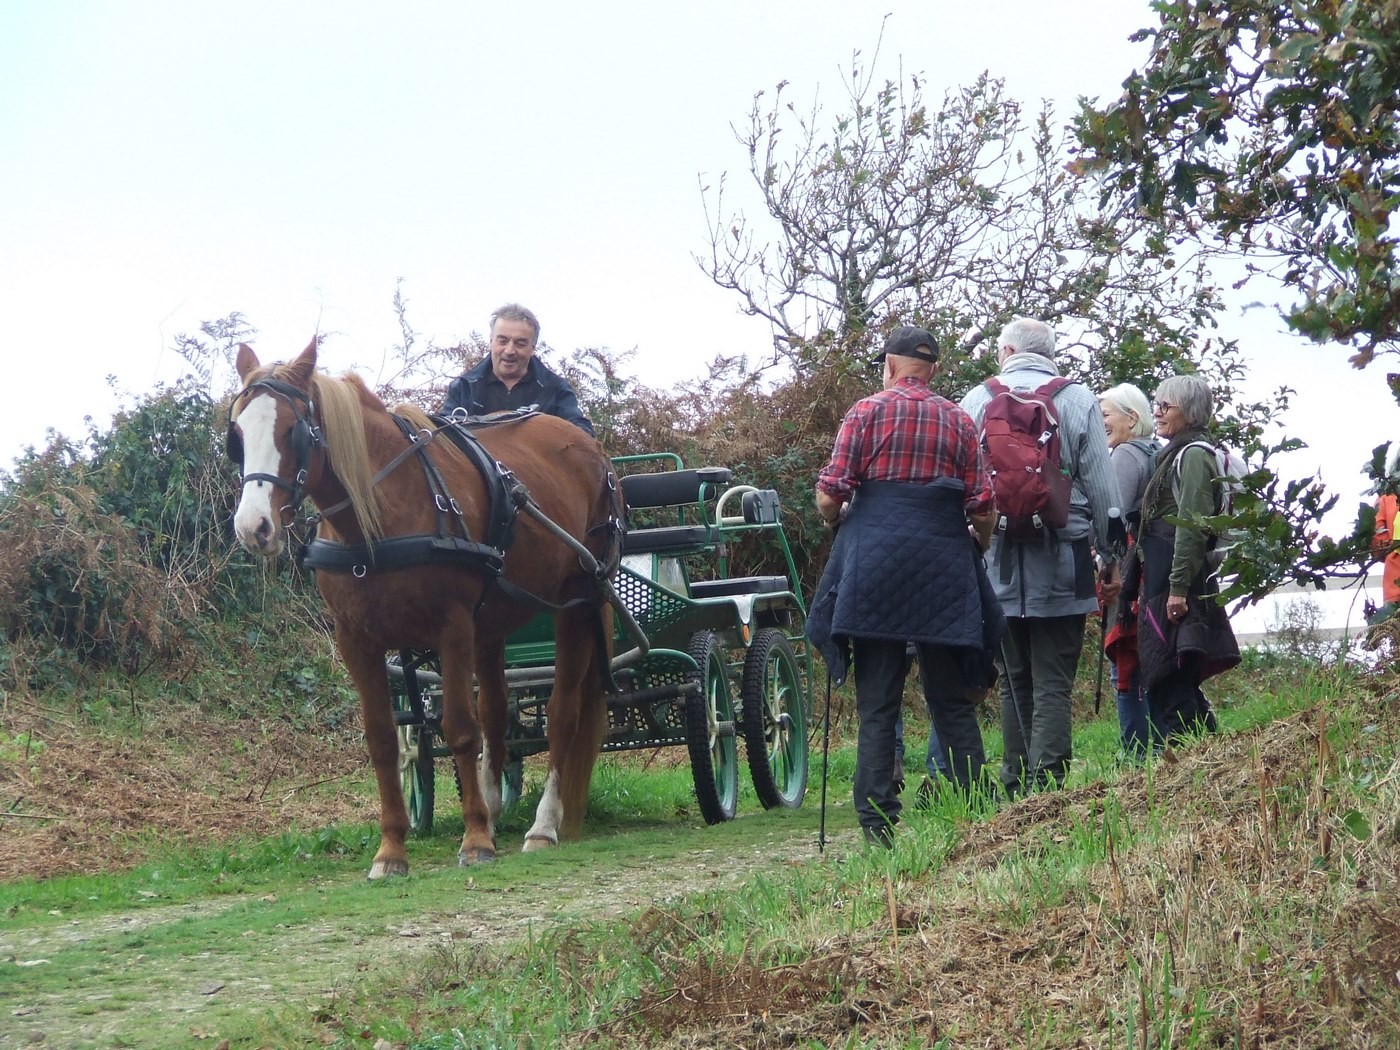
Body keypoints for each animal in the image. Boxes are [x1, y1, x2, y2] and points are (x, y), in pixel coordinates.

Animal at [226, 338, 621, 879]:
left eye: (294, 431)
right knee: (495, 714)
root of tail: (590, 448)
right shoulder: (357, 640)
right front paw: (392, 849)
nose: (254, 528)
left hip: (576, 604)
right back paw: (493, 809)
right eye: (238, 433)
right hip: (491, 624)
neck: (378, 515)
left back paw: (542, 825)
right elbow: (384, 741)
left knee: (562, 714)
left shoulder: (451, 628)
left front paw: (475, 841)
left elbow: (459, 729)